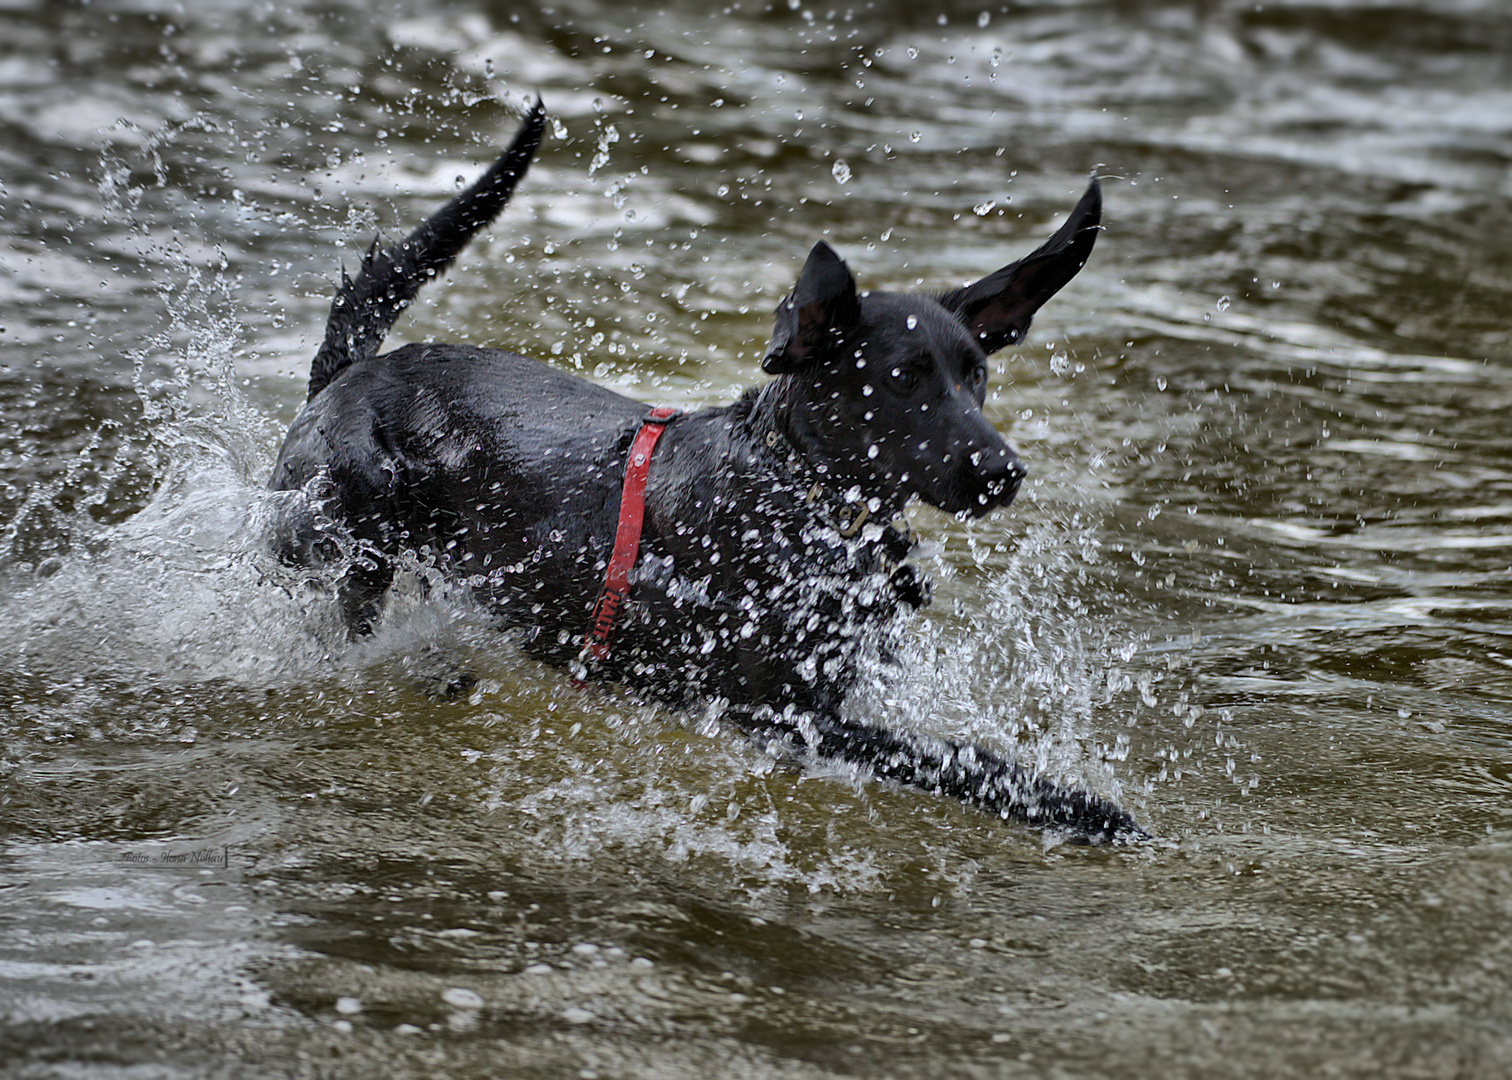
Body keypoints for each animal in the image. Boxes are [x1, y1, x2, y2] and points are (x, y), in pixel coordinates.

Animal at [272, 101, 1143, 841]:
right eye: (901, 379)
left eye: (976, 377)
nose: (1004, 471)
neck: (796, 492)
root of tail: (349, 373)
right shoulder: (779, 710)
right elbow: (957, 761)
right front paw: (1081, 809)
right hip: (345, 532)